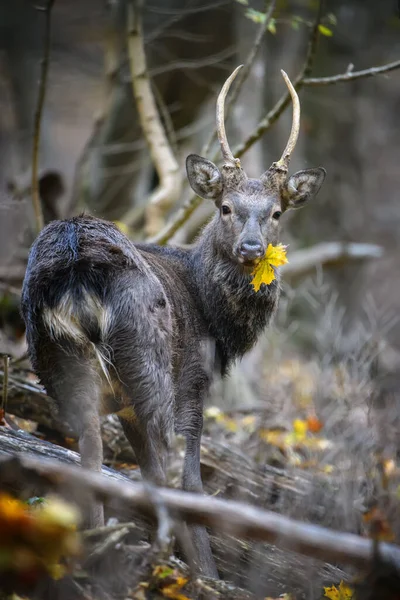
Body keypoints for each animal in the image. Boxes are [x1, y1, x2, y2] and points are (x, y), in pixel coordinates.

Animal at [20, 67, 324, 580]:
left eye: (276, 213)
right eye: (225, 207)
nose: (251, 248)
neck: (213, 315)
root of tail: (78, 264)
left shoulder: (124, 404)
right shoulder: (194, 381)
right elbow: (188, 478)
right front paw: (207, 573)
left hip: (55, 356)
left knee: (91, 451)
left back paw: (95, 548)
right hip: (149, 359)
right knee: (168, 466)